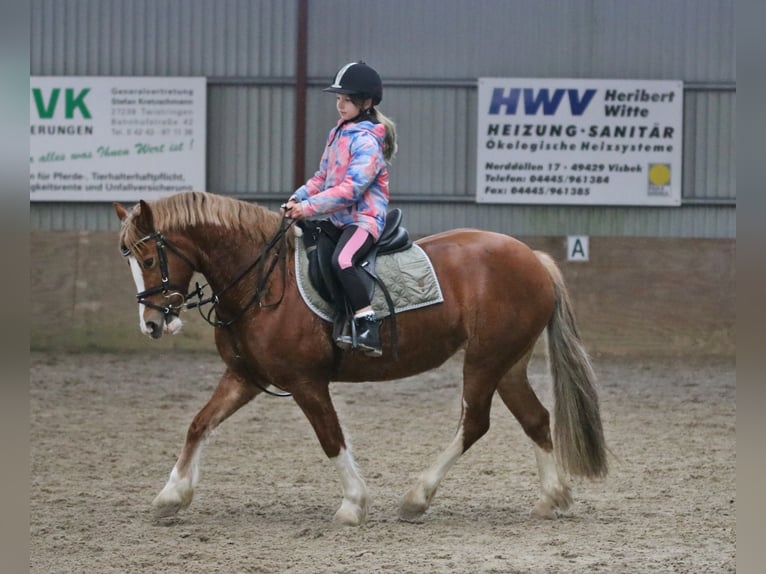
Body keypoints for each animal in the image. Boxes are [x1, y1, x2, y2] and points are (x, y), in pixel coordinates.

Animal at [114, 192, 608, 528]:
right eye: (131, 261)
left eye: (148, 257)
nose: (152, 325)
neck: (263, 281)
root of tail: (533, 258)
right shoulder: (244, 376)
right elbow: (199, 424)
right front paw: (171, 496)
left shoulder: (306, 382)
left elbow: (331, 438)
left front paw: (353, 504)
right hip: (508, 363)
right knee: (535, 419)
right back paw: (552, 497)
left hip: (485, 362)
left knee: (474, 423)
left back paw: (417, 498)